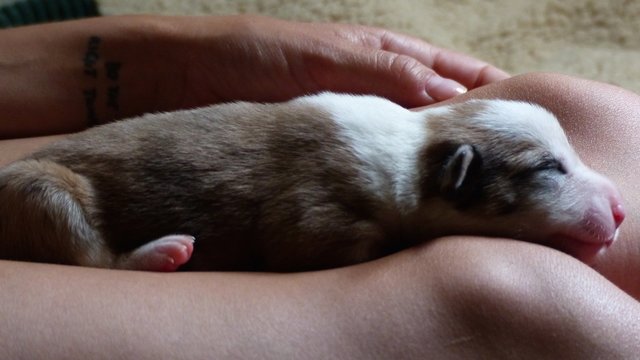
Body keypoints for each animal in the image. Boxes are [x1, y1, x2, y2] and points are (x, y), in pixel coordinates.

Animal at [0, 94, 624, 272]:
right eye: (548, 169)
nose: (620, 209)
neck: (413, 153)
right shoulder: (314, 220)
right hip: (40, 191)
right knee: (93, 257)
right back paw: (159, 253)